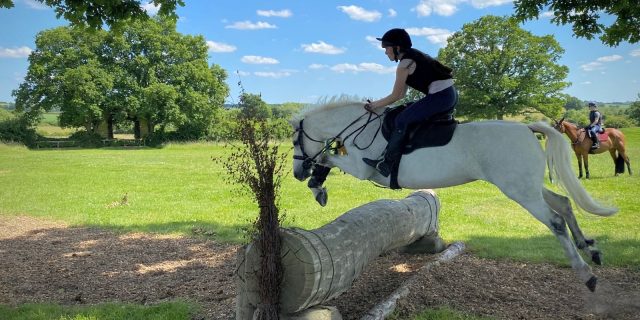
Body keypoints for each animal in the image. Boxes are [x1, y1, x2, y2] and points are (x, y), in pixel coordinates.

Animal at [290, 97, 616, 292]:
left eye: (294, 140)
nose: (297, 173)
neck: (361, 128)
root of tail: (526, 128)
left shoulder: (363, 169)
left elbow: (326, 157)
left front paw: (316, 184)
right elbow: (326, 159)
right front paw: (317, 186)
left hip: (520, 191)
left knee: (556, 221)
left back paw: (586, 273)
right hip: (524, 187)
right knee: (564, 203)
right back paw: (590, 248)